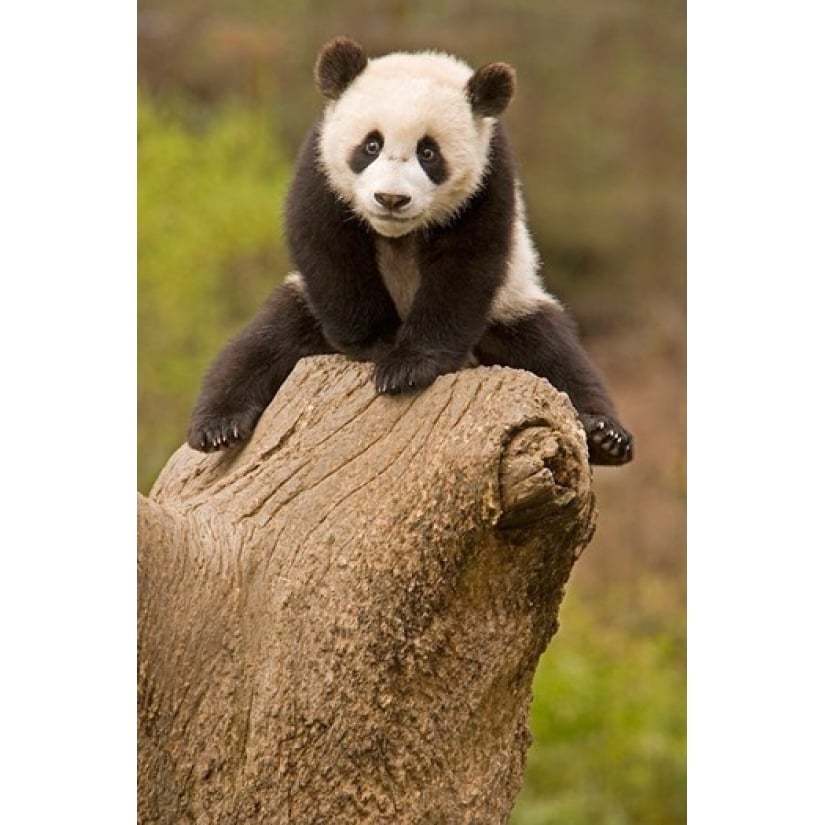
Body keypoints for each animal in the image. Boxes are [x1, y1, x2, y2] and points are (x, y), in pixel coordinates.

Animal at [188, 37, 632, 464]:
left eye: (428, 152)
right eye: (371, 145)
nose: (391, 199)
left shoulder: (489, 180)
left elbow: (466, 267)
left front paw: (406, 367)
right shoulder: (320, 167)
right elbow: (328, 247)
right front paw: (379, 345)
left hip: (510, 306)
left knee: (552, 353)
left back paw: (605, 436)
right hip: (304, 310)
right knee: (260, 346)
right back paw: (218, 426)